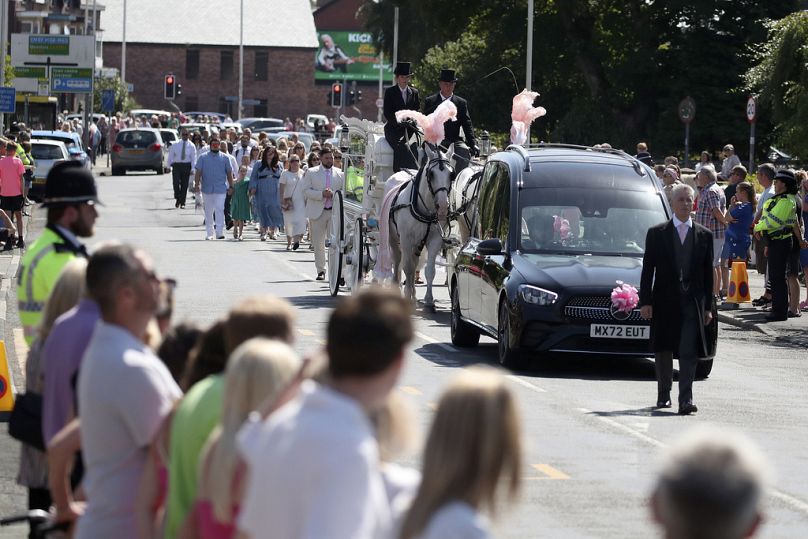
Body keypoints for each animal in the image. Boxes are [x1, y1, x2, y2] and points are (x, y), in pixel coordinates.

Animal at [386, 142, 452, 312]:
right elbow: (407, 268)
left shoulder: (434, 240)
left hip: (417, 244)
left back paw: (414, 296)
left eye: (451, 174)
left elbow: (429, 270)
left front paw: (428, 300)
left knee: (414, 264)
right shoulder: (406, 240)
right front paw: (407, 296)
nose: (443, 206)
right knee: (398, 262)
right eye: (431, 174)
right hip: (394, 239)